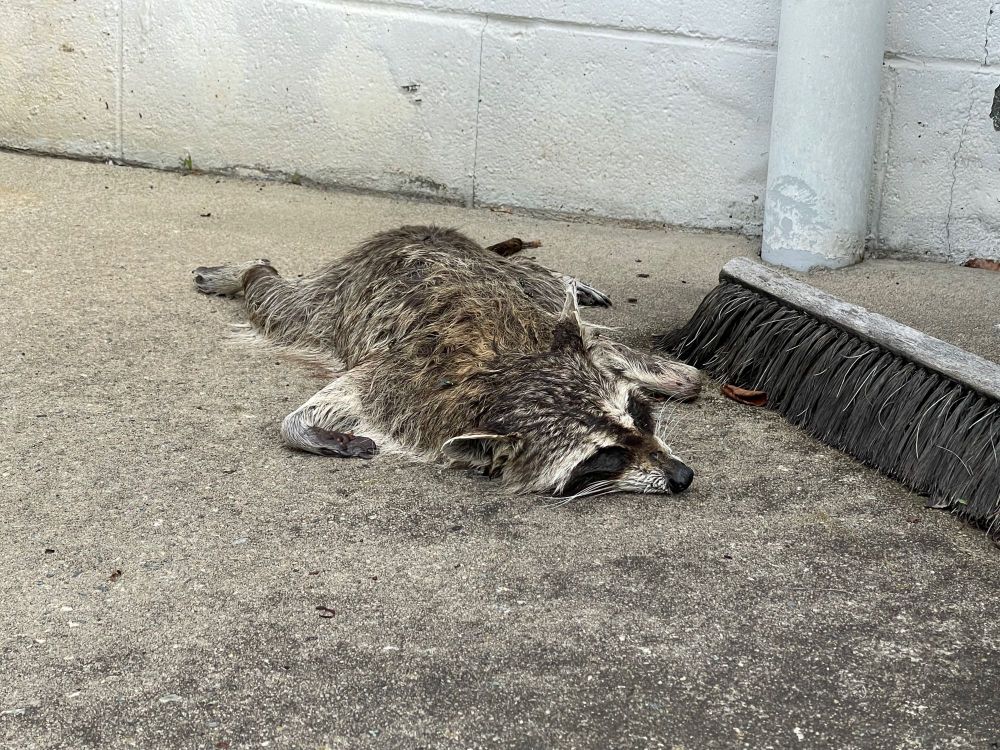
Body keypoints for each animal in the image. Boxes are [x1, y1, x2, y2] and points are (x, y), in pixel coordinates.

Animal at [193, 226, 700, 497]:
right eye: (605, 455)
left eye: (639, 417)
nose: (683, 476)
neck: (508, 368)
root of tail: (415, 229)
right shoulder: (398, 385)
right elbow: (305, 413)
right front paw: (306, 430)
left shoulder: (566, 337)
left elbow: (690, 378)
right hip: (326, 305)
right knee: (274, 301)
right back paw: (250, 270)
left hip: (505, 275)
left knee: (533, 277)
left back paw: (563, 279)